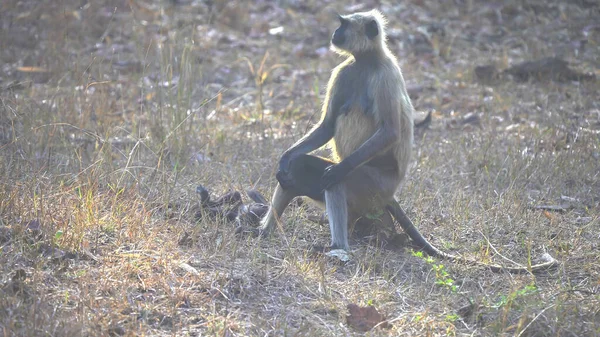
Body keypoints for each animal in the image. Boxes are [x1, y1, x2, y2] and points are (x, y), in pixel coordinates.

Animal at [246, 9, 556, 272]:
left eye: (343, 24)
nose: (334, 32)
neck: (367, 61)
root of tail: (391, 192)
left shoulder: (385, 76)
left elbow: (390, 132)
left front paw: (335, 170)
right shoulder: (344, 70)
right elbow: (326, 127)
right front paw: (284, 159)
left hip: (373, 184)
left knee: (335, 180)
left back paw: (338, 246)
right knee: (299, 170)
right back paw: (263, 231)